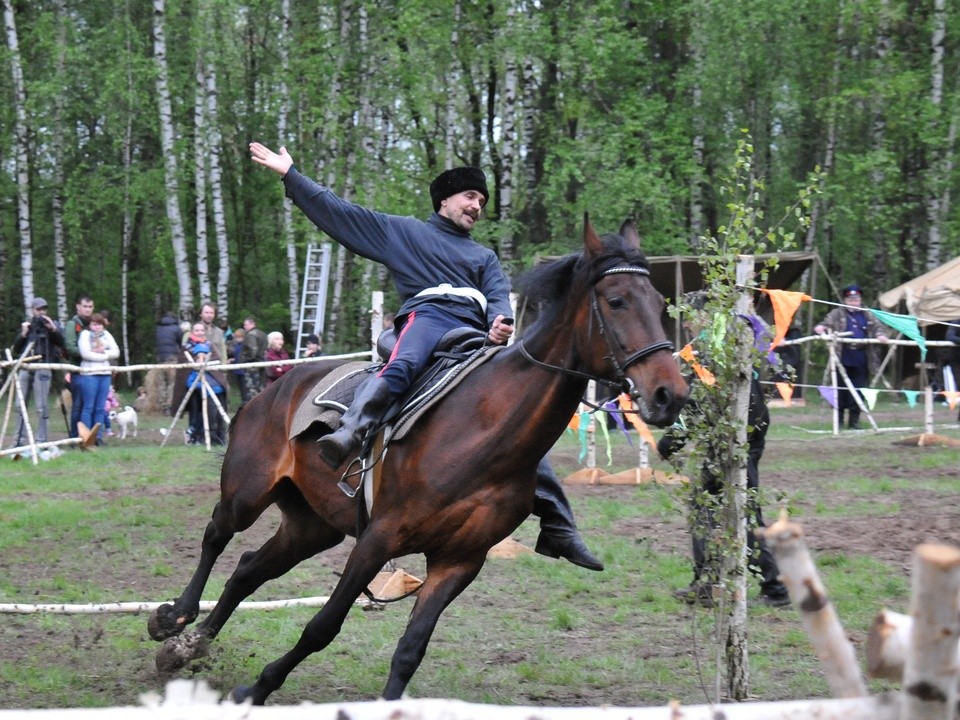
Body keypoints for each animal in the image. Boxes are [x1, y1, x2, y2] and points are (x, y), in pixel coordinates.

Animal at [148, 218, 688, 704]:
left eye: (659, 303)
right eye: (616, 301)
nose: (670, 394)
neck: (480, 432)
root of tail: (273, 389)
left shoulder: (459, 561)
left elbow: (410, 649)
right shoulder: (378, 538)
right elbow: (323, 625)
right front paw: (256, 688)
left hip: (312, 526)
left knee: (247, 568)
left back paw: (188, 646)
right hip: (247, 493)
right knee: (217, 536)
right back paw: (174, 618)